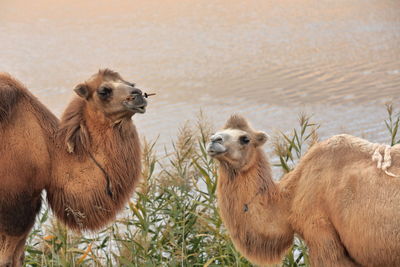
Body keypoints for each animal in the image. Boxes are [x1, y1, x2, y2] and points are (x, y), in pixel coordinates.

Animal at [0, 70, 147, 267]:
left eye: (131, 83)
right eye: (104, 91)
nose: (138, 95)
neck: (49, 153)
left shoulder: (28, 205)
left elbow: (18, 258)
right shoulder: (15, 205)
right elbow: (7, 259)